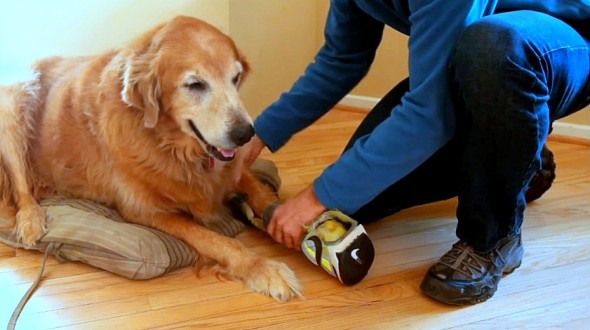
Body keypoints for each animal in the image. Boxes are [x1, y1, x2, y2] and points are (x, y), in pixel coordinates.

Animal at [0, 16, 302, 302]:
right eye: (195, 84)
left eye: (236, 78)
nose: (246, 134)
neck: (169, 144)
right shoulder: (144, 209)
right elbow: (215, 240)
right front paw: (262, 267)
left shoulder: (228, 170)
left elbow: (260, 192)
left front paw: (293, 223)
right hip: (14, 97)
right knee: (21, 186)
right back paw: (31, 220)